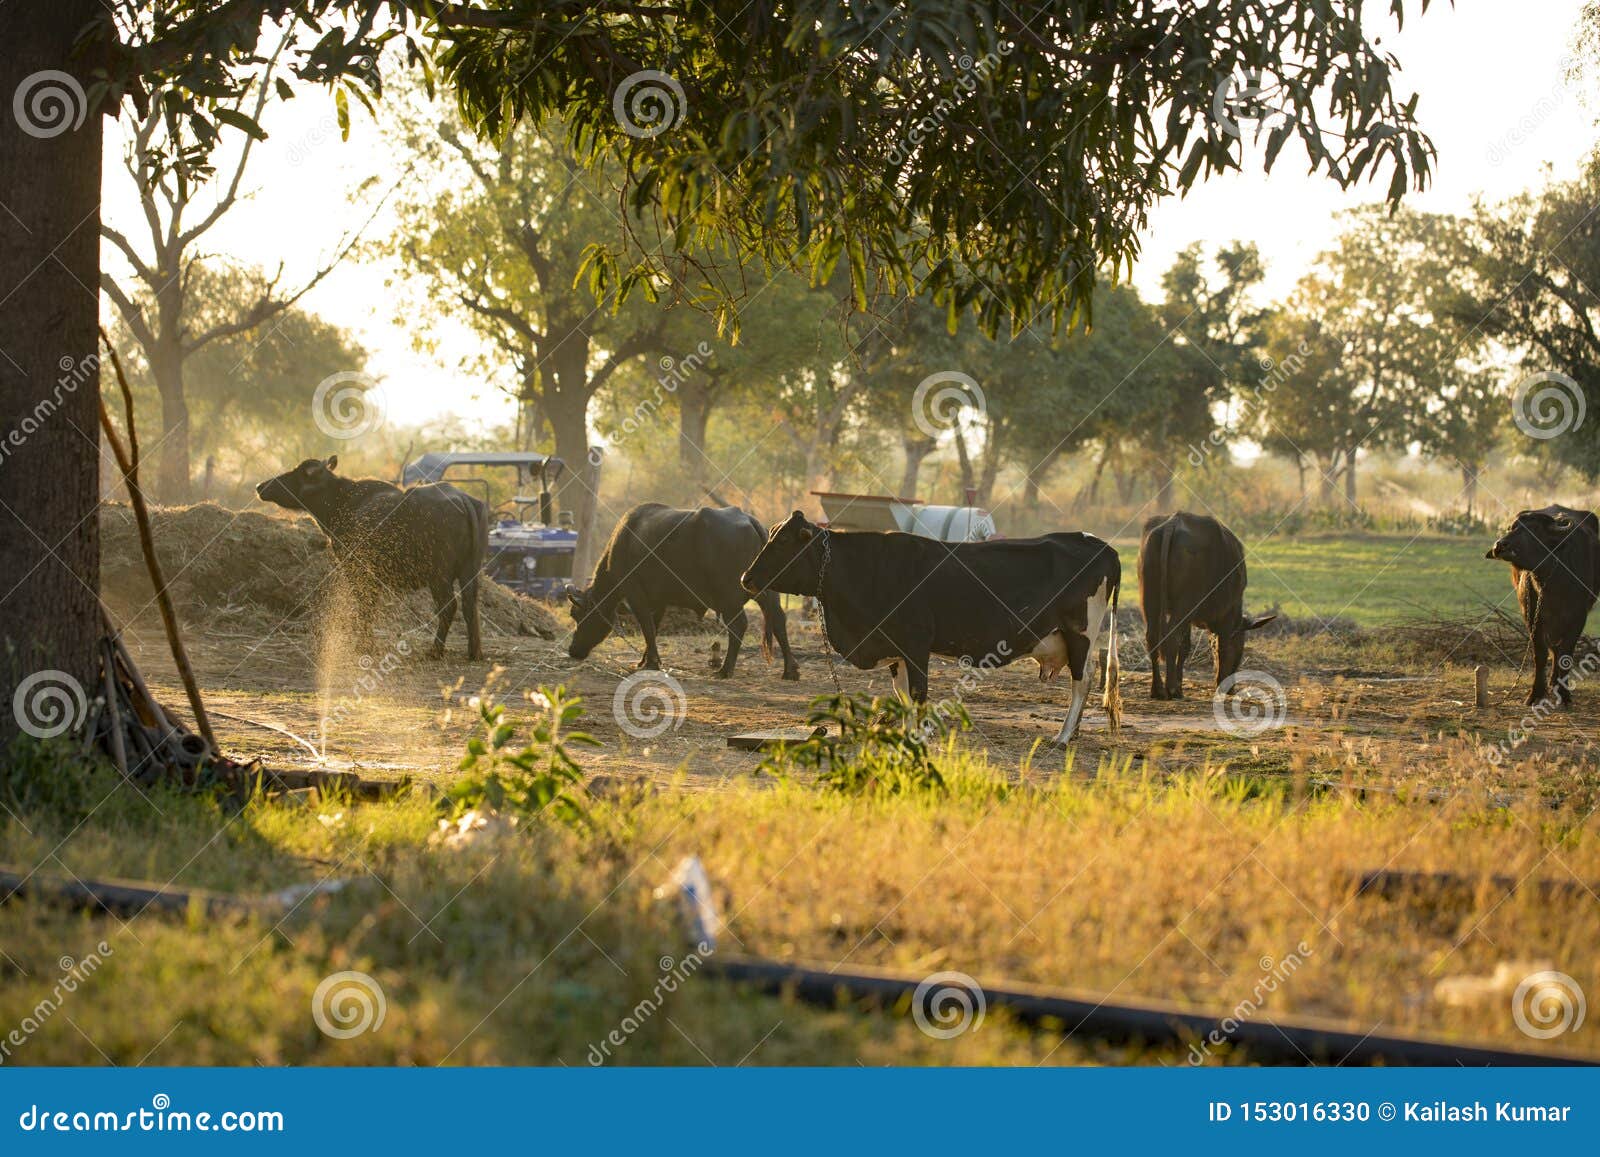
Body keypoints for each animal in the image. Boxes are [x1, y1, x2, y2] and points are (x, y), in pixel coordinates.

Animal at [255, 456, 487, 660]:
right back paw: (474, 652)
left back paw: (435, 651)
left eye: (297, 472)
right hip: (470, 571)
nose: (260, 486)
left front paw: (363, 645)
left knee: (449, 607)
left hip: (439, 576)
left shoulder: (357, 569)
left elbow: (364, 605)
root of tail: (462, 498)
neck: (342, 502)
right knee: (470, 605)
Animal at [566, 504, 800, 680]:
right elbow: (653, 628)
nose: (573, 651)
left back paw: (725, 670)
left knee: (739, 625)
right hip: (769, 593)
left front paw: (651, 663)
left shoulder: (636, 595)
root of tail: (751, 522)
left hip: (728, 598)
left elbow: (647, 627)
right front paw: (645, 659)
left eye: (578, 615)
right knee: (779, 620)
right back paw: (790, 670)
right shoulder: (659, 601)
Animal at [740, 511, 1121, 744]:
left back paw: (1063, 736)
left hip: (1080, 632)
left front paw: (916, 736)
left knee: (1081, 681)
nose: (746, 578)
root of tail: (1099, 544)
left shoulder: (915, 644)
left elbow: (919, 694)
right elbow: (903, 696)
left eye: (784, 541)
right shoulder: (894, 649)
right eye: (770, 535)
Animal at [1139, 511, 1275, 699]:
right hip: (1184, 604)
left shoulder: (1189, 619)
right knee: (1171, 637)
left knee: (1152, 637)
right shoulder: (1225, 619)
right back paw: (1170, 688)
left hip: (1150, 599)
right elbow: (1221, 647)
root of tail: (1174, 521)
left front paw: (1181, 687)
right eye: (1240, 648)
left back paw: (1158, 689)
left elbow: (1186, 647)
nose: (1232, 688)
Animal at [1486, 505, 1600, 708]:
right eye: (1512, 527)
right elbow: (1540, 654)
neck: (1551, 581)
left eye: (1534, 531)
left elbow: (1565, 654)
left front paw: (1564, 694)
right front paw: (1536, 694)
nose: (1499, 545)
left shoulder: (1578, 618)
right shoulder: (1532, 616)